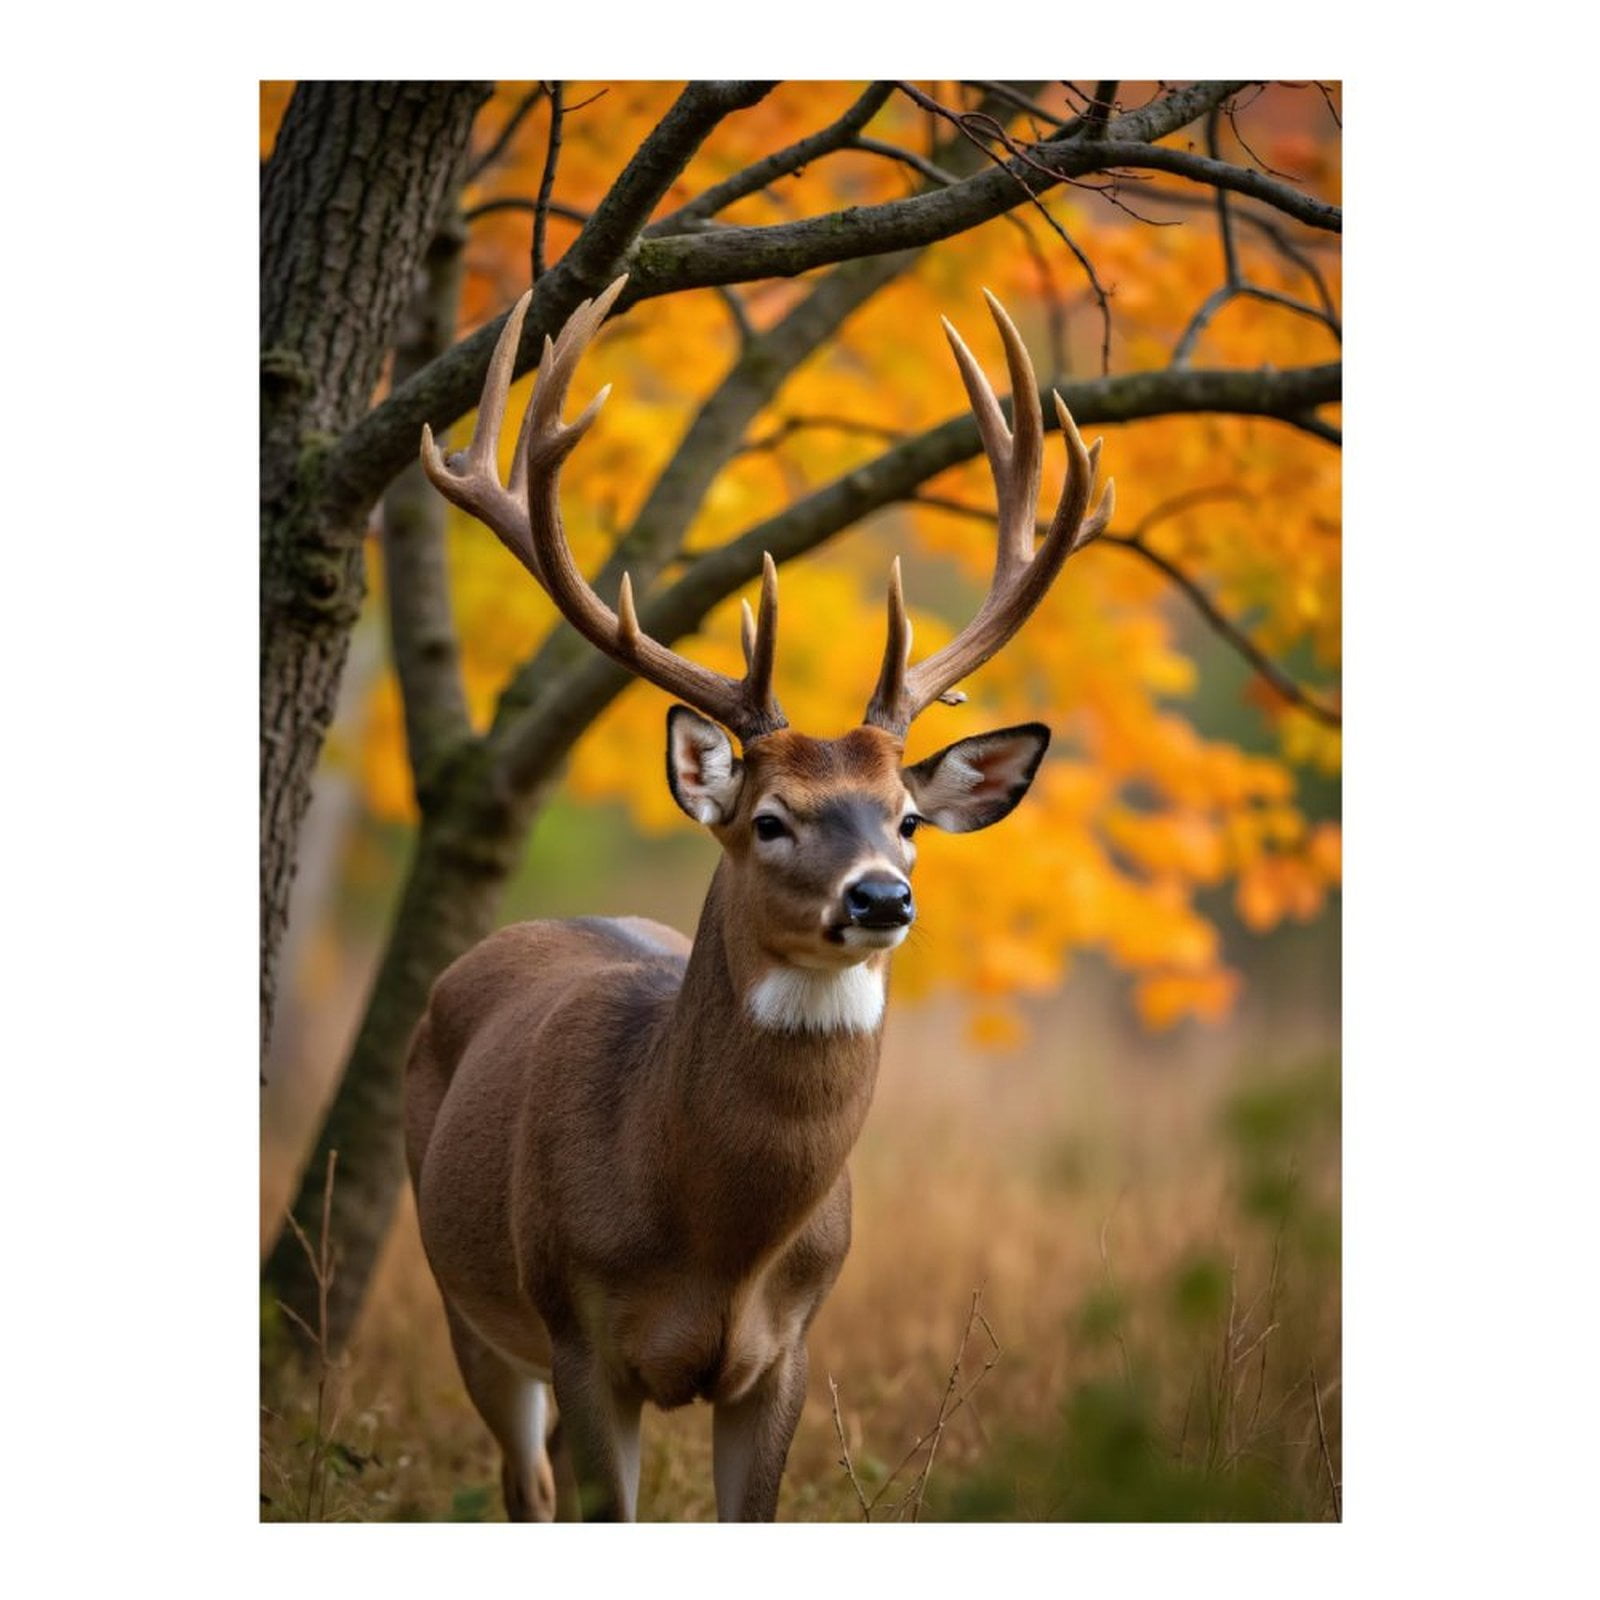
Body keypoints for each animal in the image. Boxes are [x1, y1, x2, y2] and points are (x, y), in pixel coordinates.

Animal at [405, 273, 1114, 1521]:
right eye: (770, 818)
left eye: (908, 819)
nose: (881, 899)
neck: (713, 1235)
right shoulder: (584, 1334)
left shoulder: (784, 1350)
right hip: (470, 1299)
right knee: (523, 1484)